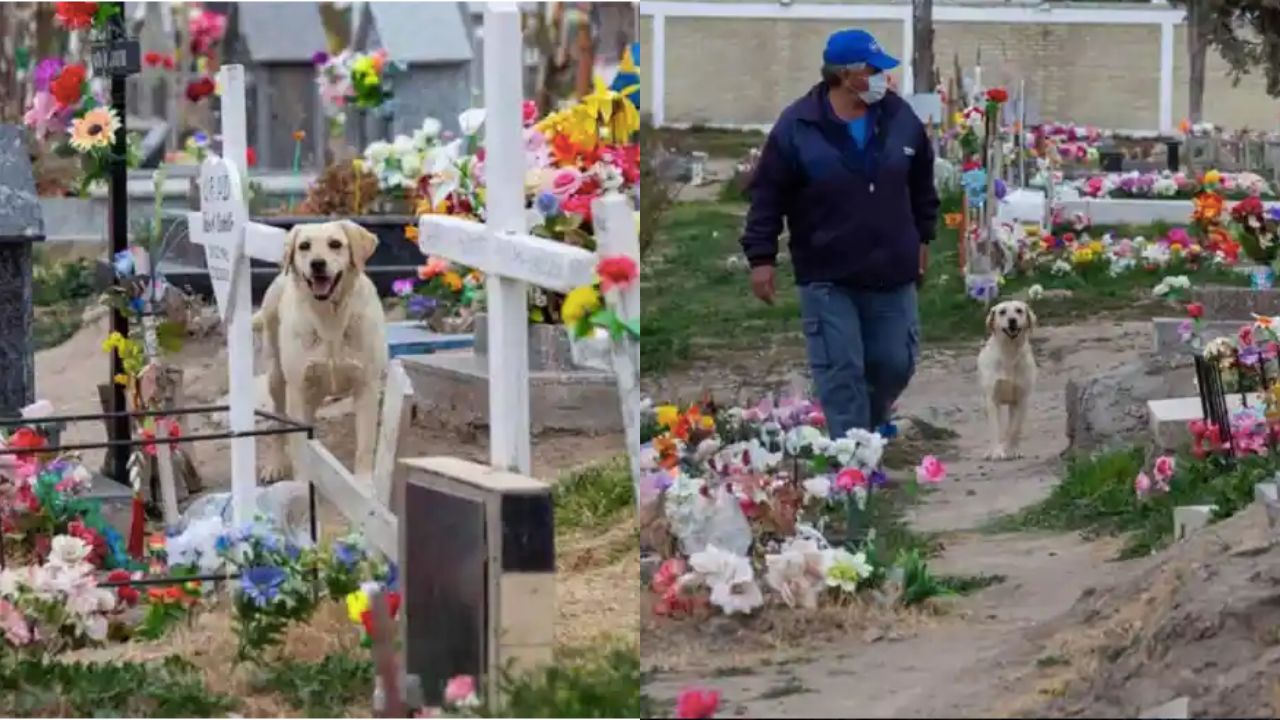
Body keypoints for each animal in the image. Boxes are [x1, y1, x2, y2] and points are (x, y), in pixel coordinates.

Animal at [252, 219, 386, 481]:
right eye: (304, 246)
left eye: (335, 244)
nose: (317, 264)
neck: (330, 318)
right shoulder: (298, 388)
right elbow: (300, 446)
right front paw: (302, 484)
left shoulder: (367, 386)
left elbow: (365, 447)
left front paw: (365, 486)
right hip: (277, 378)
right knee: (278, 423)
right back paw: (275, 463)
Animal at [977, 298, 1039, 458]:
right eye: (1002, 312)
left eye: (1019, 310)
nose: (1012, 320)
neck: (1009, 353)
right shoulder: (992, 399)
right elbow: (995, 429)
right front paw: (996, 452)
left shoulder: (1022, 399)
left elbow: (1014, 428)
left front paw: (1010, 449)